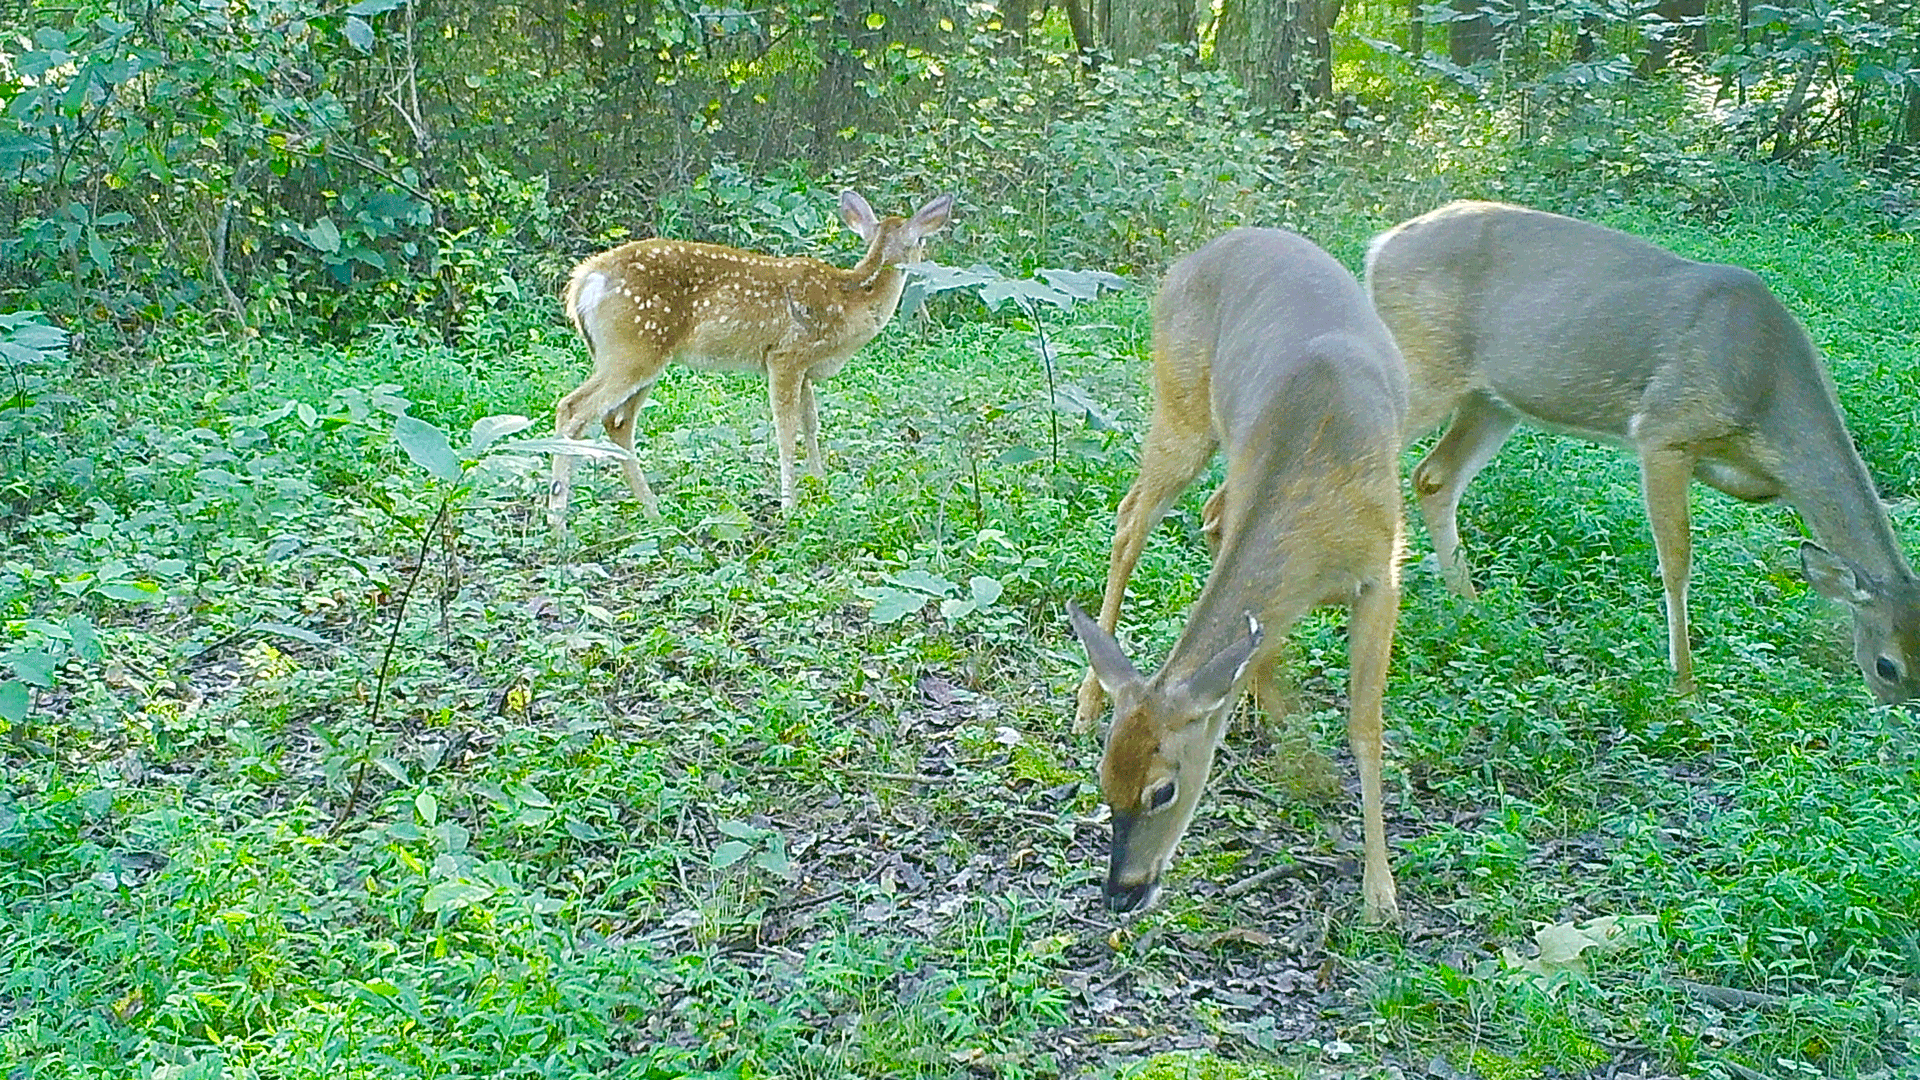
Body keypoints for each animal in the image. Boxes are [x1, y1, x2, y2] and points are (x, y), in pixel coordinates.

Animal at [548, 190, 954, 529]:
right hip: (634, 348)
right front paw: (790, 506)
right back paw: (558, 522)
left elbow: (811, 424)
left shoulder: (806, 369)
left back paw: (653, 512)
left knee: (616, 422)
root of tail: (583, 282)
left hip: (640, 354)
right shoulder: (786, 354)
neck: (851, 299)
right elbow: (786, 430)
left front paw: (822, 489)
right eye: (921, 240)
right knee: (573, 408)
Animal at [1068, 227, 1410, 925]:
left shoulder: (1383, 570)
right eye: (1104, 783)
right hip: (1181, 403)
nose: (1121, 891)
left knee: (1195, 515)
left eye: (1162, 790)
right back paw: (1091, 698)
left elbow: (1365, 727)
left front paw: (1381, 893)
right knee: (1132, 516)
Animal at [1365, 199, 1920, 703]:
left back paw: (1470, 604)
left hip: (1492, 400)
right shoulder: (1665, 431)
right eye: (1887, 666)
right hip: (1426, 367)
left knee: (1433, 477)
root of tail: (1380, 247)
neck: (1764, 396)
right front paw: (1685, 685)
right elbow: (1676, 562)